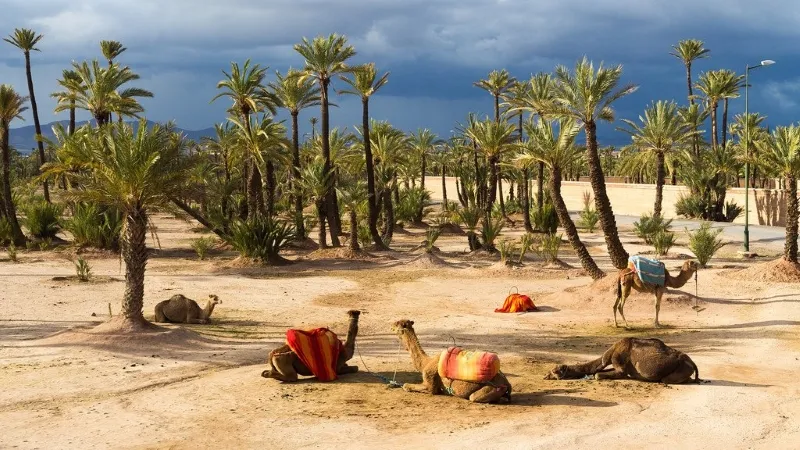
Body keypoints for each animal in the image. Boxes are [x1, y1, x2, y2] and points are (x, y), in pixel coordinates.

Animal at [544, 337, 700, 384]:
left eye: (554, 371)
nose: (545, 376)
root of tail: (692, 363)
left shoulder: (620, 364)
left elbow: (598, 374)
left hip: (681, 369)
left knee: (666, 379)